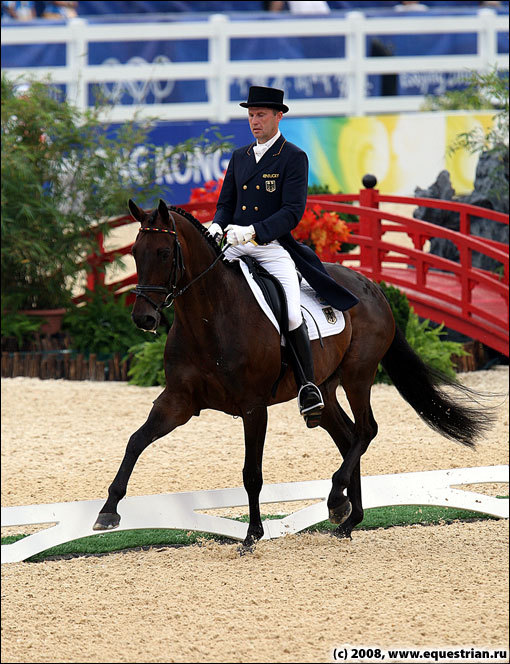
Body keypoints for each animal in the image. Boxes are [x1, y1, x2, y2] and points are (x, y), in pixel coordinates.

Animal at [92, 200, 494, 548]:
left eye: (163, 253)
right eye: (134, 253)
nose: (144, 318)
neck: (209, 316)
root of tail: (370, 286)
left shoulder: (254, 408)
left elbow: (251, 473)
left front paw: (252, 535)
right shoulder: (178, 401)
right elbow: (135, 441)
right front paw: (108, 512)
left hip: (358, 374)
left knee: (366, 430)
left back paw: (336, 502)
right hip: (325, 388)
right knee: (348, 436)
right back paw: (348, 517)